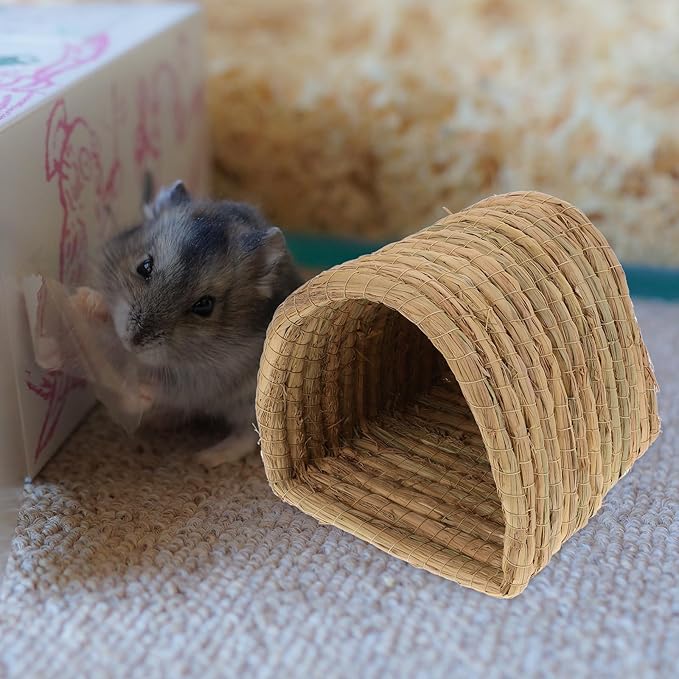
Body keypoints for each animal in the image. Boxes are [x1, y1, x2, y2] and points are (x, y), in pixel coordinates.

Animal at [95, 180, 303, 468]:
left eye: (204, 305)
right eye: (144, 266)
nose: (132, 342)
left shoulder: (206, 379)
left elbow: (167, 389)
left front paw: (139, 392)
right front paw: (92, 304)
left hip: (252, 403)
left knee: (247, 436)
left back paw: (207, 457)